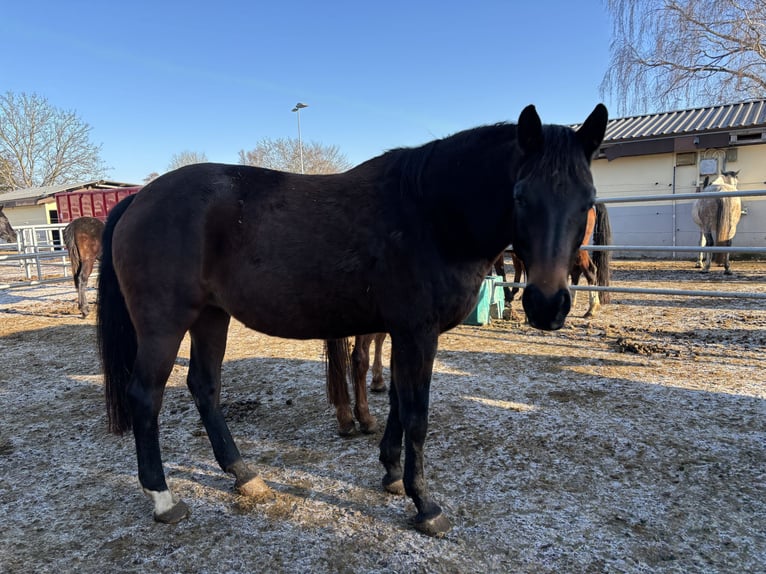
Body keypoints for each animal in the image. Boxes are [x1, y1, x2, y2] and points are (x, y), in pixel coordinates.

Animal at [97, 103, 608, 536]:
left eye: (587, 199)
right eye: (521, 196)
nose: (547, 305)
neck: (431, 212)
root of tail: (138, 199)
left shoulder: (403, 333)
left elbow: (398, 402)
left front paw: (392, 475)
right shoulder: (417, 334)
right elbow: (417, 415)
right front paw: (426, 505)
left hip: (210, 317)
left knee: (204, 387)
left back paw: (243, 474)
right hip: (164, 325)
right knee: (146, 396)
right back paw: (163, 498)